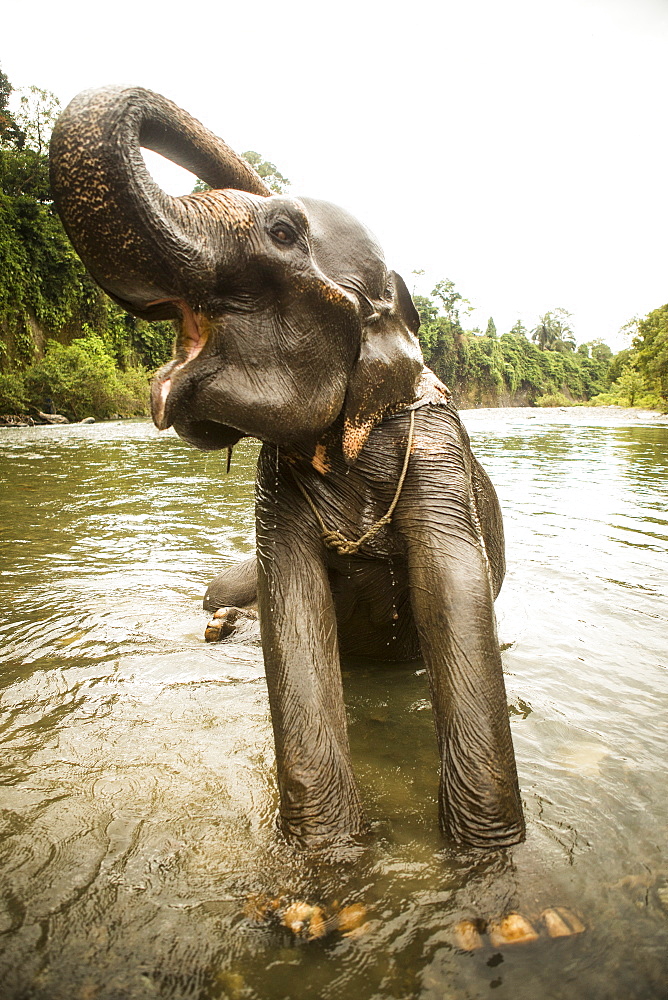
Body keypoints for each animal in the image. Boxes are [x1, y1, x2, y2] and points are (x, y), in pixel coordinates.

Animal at [49, 88, 524, 852]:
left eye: (279, 230)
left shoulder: (438, 458)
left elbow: (452, 596)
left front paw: (486, 860)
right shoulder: (274, 488)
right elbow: (293, 605)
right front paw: (327, 861)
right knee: (222, 590)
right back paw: (218, 627)